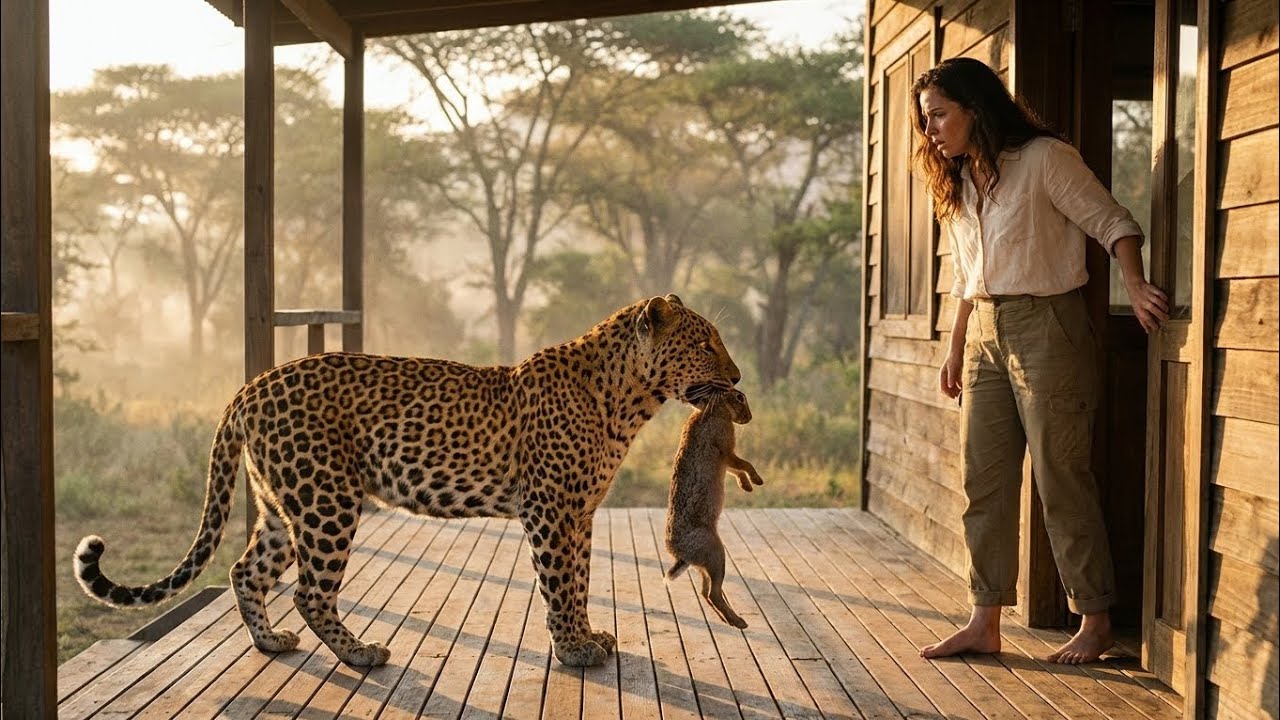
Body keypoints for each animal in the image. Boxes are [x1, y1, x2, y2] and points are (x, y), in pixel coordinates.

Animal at [73, 294, 740, 668]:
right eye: (707, 342)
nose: (736, 377)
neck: (629, 397)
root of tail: (249, 386)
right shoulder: (551, 509)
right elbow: (559, 582)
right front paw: (574, 651)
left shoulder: (579, 512)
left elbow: (577, 579)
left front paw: (586, 637)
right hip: (326, 501)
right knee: (310, 591)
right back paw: (360, 654)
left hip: (282, 505)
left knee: (246, 570)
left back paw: (270, 644)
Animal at [664, 388, 763, 629]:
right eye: (739, 398)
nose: (749, 418)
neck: (717, 409)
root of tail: (681, 554)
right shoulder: (725, 451)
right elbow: (744, 464)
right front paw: (757, 481)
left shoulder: (725, 460)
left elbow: (737, 470)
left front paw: (746, 486)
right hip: (716, 553)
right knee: (713, 593)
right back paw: (739, 622)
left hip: (705, 565)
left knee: (704, 593)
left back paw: (728, 620)